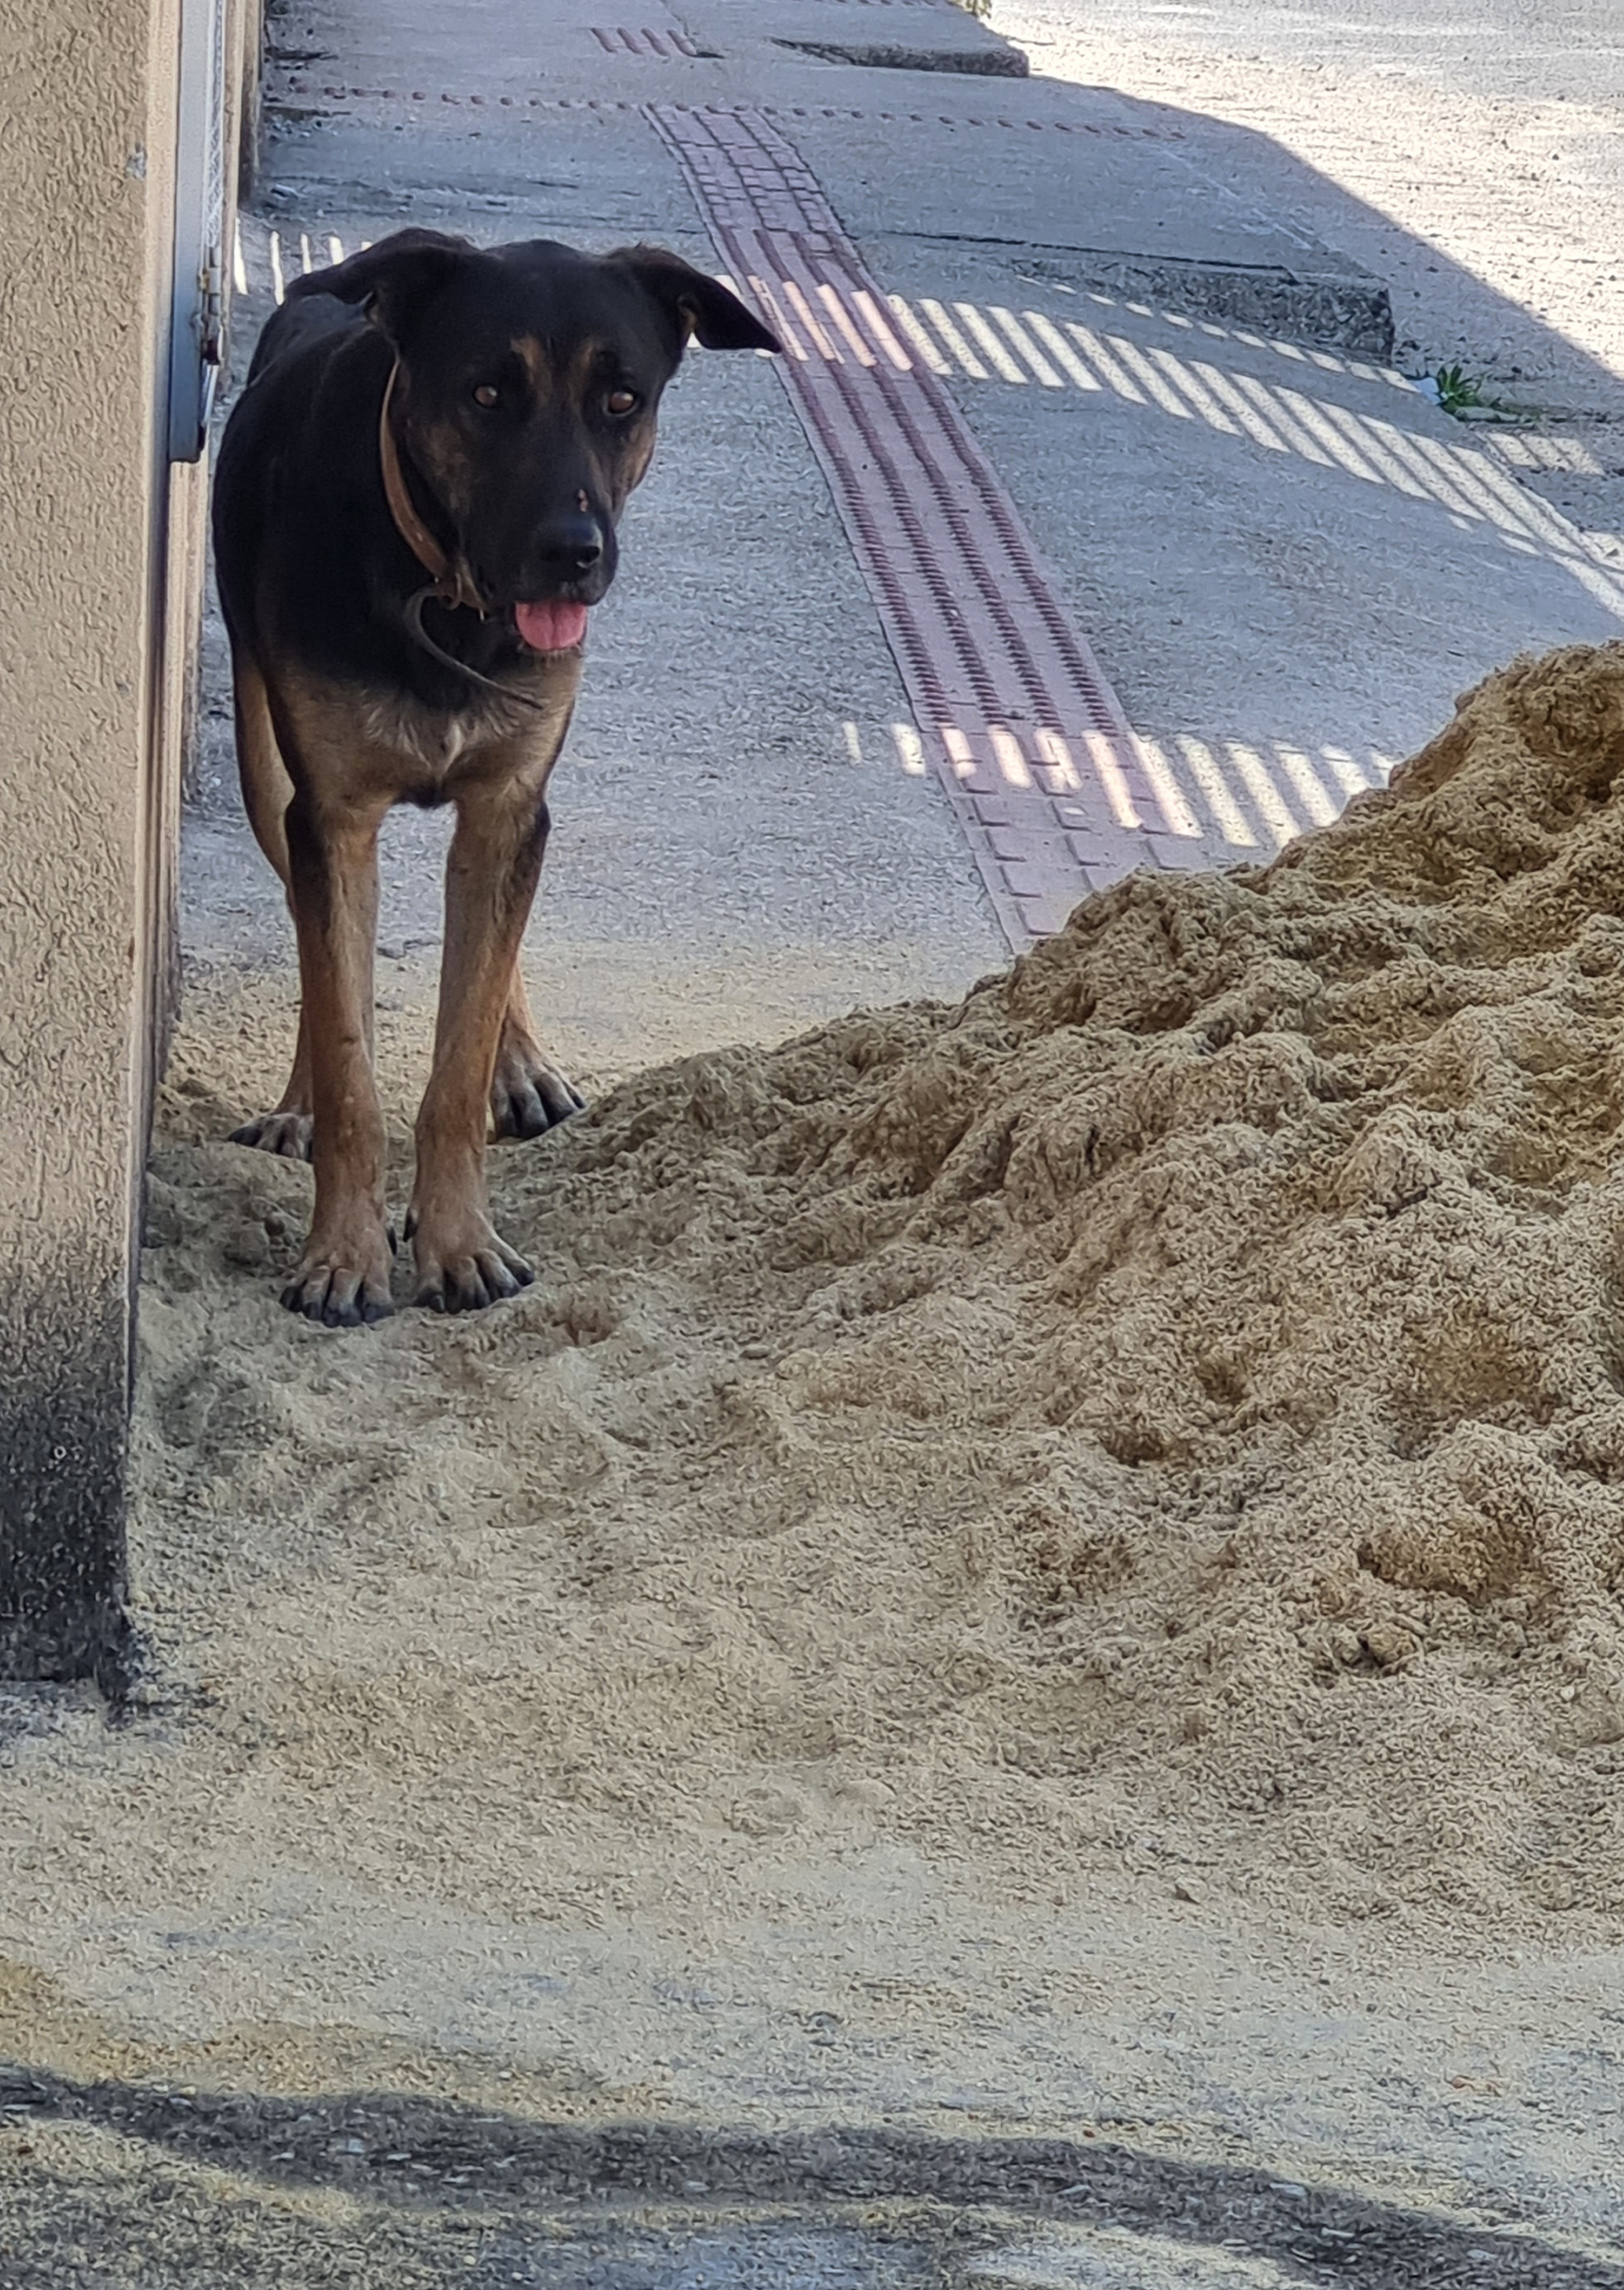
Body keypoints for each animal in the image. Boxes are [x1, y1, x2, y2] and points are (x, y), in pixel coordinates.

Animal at [211, 228, 779, 1325]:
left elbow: (459, 1049)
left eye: (621, 398)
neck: (446, 599)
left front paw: (457, 1239)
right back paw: (297, 1105)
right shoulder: (330, 815)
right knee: (311, 941)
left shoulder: (511, 802)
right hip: (265, 770)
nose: (572, 554)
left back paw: (523, 1067)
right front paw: (343, 1252)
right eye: (485, 394)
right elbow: (347, 1050)